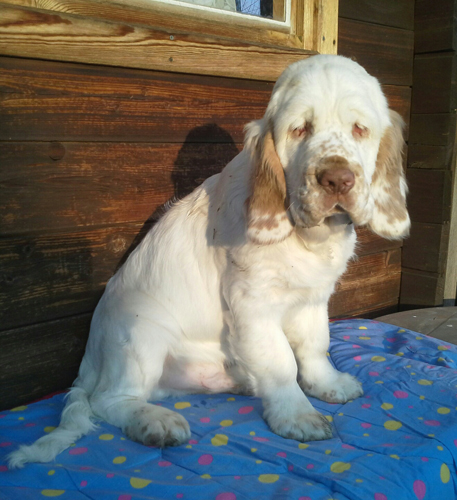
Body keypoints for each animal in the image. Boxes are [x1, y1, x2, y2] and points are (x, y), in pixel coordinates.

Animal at [8, 55, 410, 468]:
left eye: (359, 129)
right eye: (300, 129)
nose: (337, 180)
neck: (304, 234)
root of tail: (87, 363)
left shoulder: (313, 297)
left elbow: (315, 344)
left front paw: (328, 385)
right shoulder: (252, 304)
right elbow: (281, 360)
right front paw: (296, 415)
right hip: (140, 330)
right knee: (108, 399)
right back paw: (156, 423)